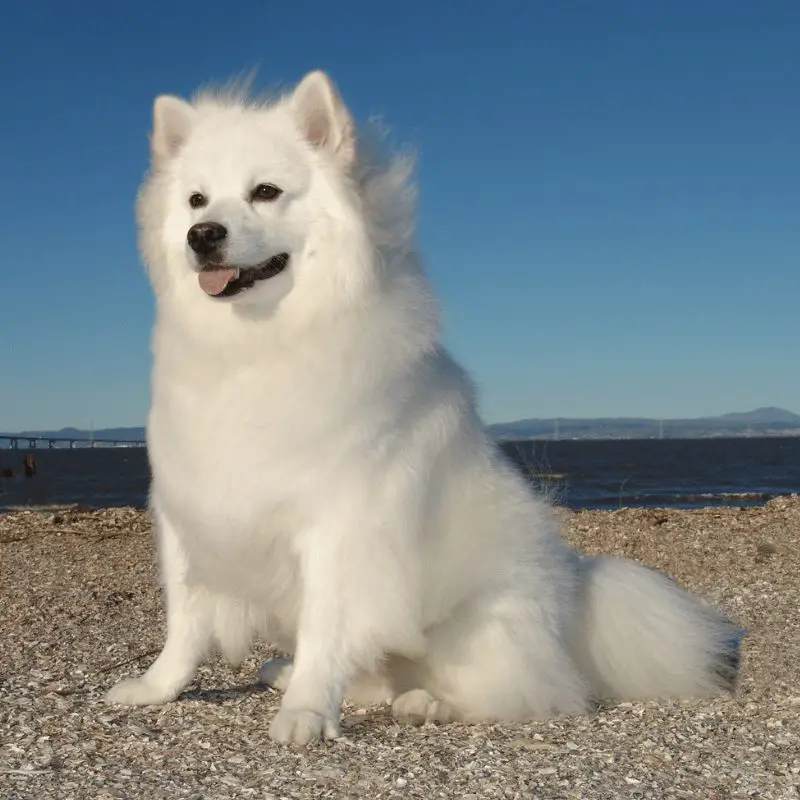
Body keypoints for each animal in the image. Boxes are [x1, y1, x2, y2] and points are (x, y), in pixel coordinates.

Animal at [104, 69, 736, 744]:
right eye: (196, 201)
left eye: (266, 192)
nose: (203, 236)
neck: (254, 347)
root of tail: (573, 616)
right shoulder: (189, 514)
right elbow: (184, 625)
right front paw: (157, 689)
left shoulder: (339, 528)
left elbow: (324, 628)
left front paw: (306, 712)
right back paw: (292, 672)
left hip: (476, 629)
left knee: (523, 693)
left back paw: (426, 703)